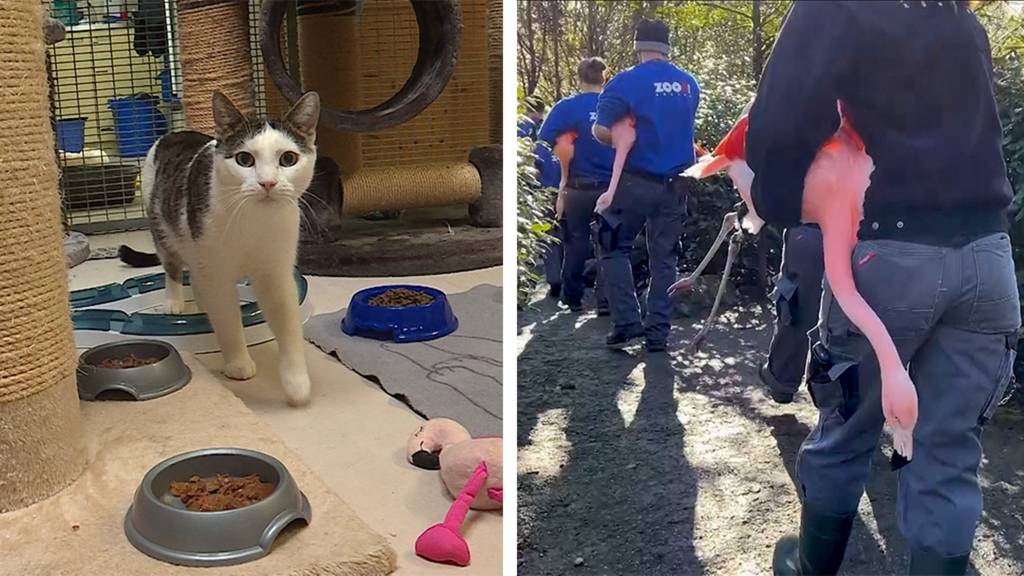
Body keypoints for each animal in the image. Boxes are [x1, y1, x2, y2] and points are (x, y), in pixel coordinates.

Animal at [138, 90, 317, 403]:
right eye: (245, 159)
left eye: (288, 158)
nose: (267, 183)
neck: (254, 222)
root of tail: (173, 134)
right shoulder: (216, 271)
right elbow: (228, 318)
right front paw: (238, 363)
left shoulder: (275, 271)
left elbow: (288, 323)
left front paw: (296, 383)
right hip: (163, 225)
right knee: (172, 266)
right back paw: (174, 300)